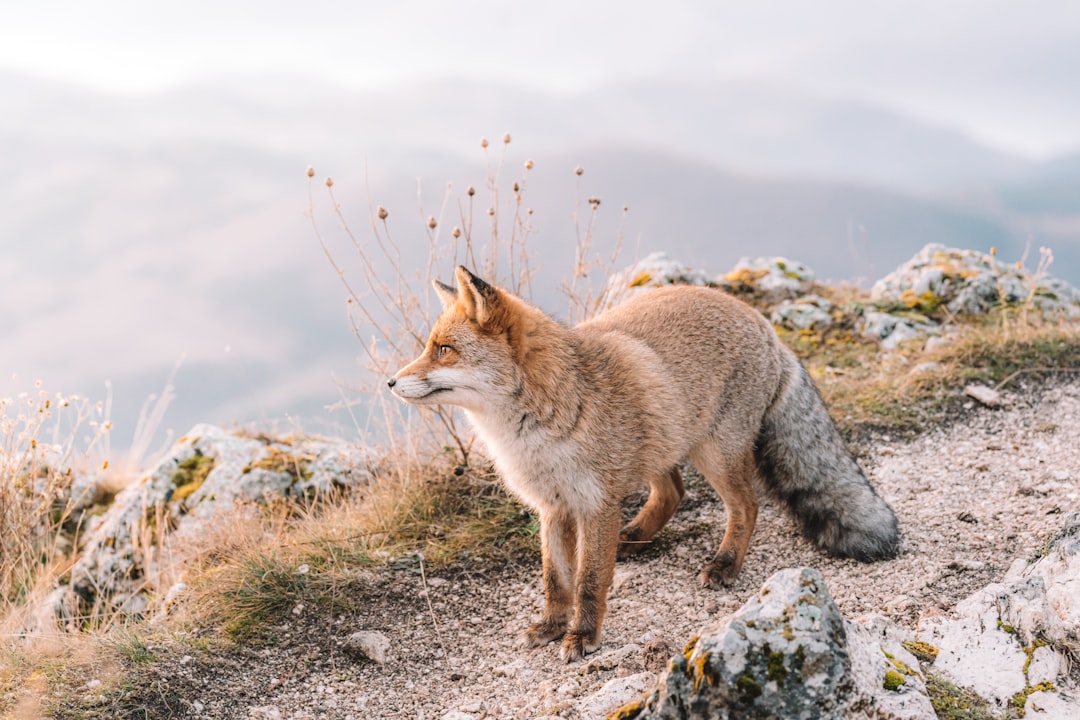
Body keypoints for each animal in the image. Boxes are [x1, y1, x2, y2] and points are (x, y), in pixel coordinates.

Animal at [386, 267, 894, 660]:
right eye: (430, 346)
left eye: (443, 350)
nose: (389, 383)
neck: (535, 430)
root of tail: (764, 324)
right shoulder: (554, 507)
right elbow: (556, 580)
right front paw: (551, 626)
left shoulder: (595, 505)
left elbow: (590, 582)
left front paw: (582, 636)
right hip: (663, 443)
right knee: (674, 491)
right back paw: (635, 537)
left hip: (714, 453)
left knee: (747, 506)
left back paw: (725, 564)